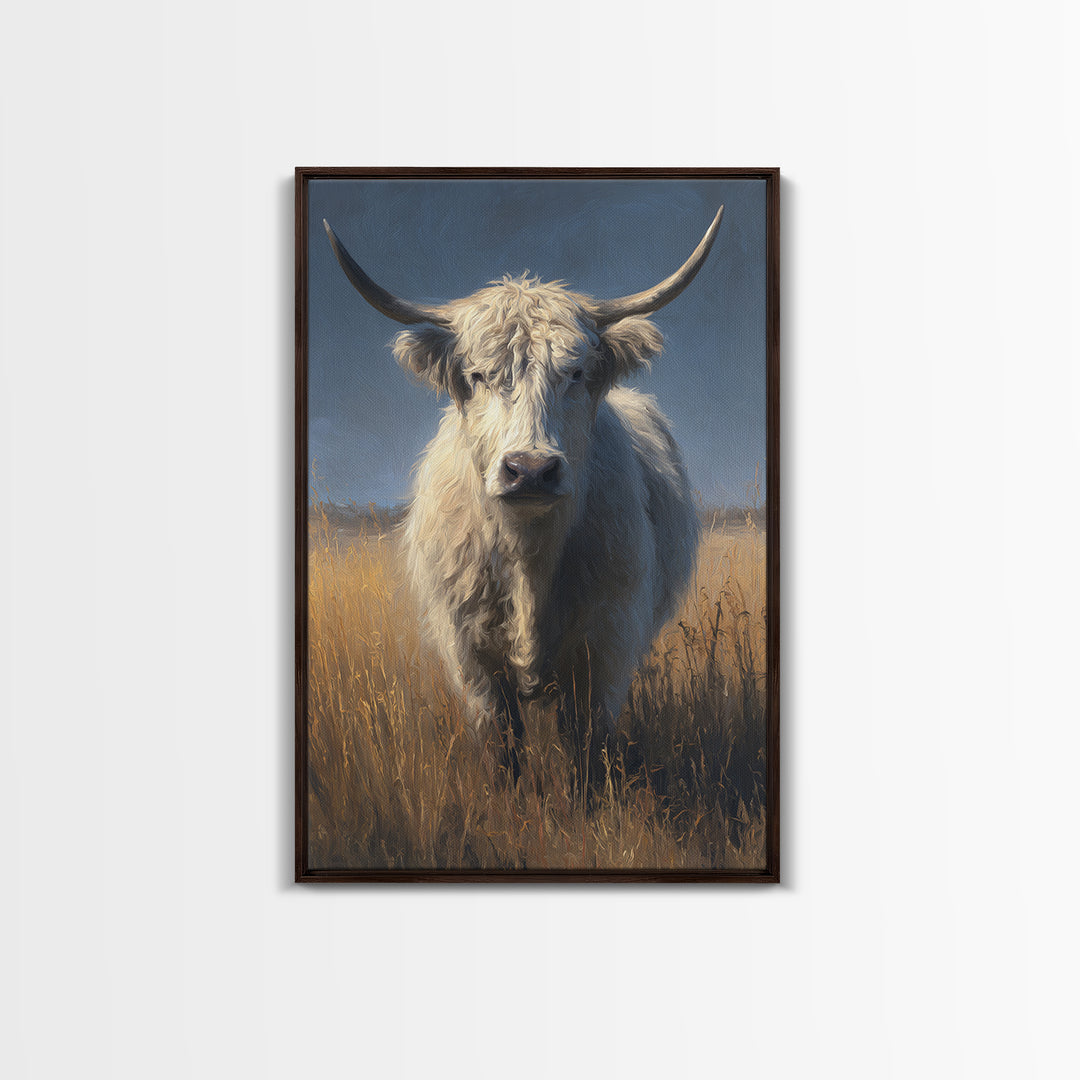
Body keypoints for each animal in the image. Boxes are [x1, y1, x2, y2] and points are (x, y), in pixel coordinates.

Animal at [324, 207, 724, 773]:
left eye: (576, 373)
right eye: (477, 374)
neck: (528, 556)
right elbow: (502, 747)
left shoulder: (605, 648)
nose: (530, 470)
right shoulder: (472, 658)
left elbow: (585, 747)